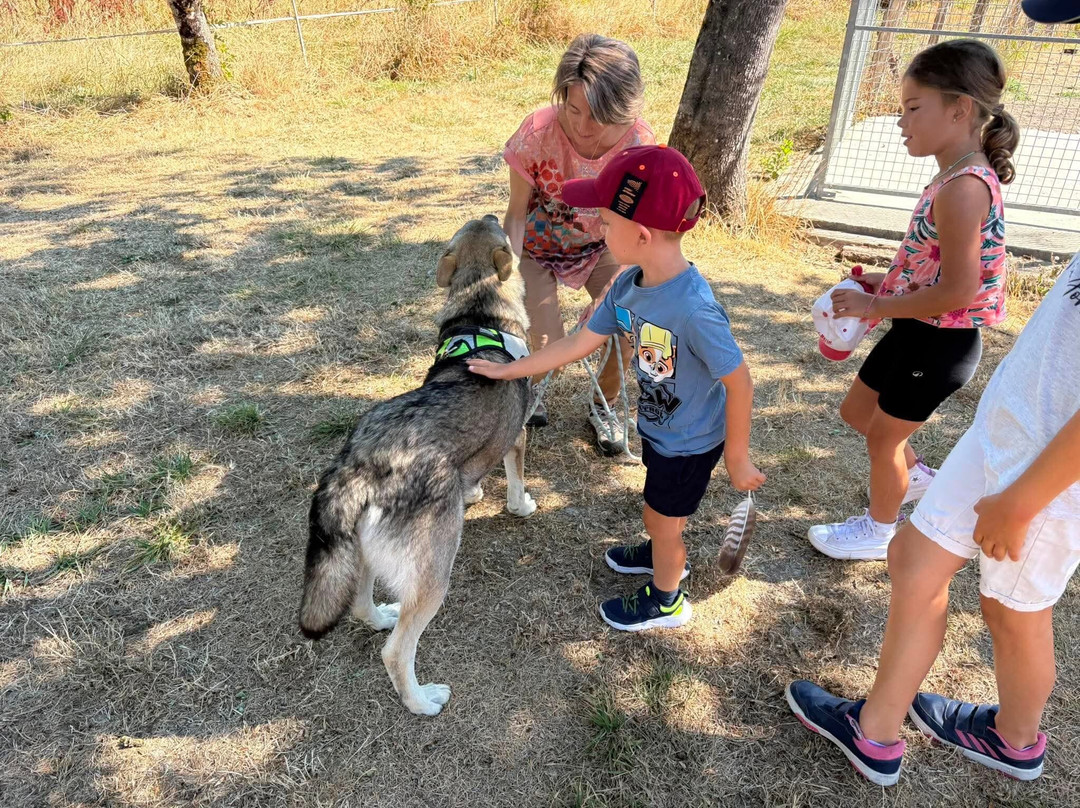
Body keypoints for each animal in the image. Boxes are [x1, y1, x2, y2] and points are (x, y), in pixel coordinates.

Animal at [298, 215, 536, 716]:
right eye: (501, 232)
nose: (495, 214)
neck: (481, 315)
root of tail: (359, 464)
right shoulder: (519, 436)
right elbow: (515, 486)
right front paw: (522, 505)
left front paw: (474, 493)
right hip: (434, 577)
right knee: (396, 651)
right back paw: (423, 701)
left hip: (363, 554)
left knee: (360, 606)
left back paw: (379, 617)